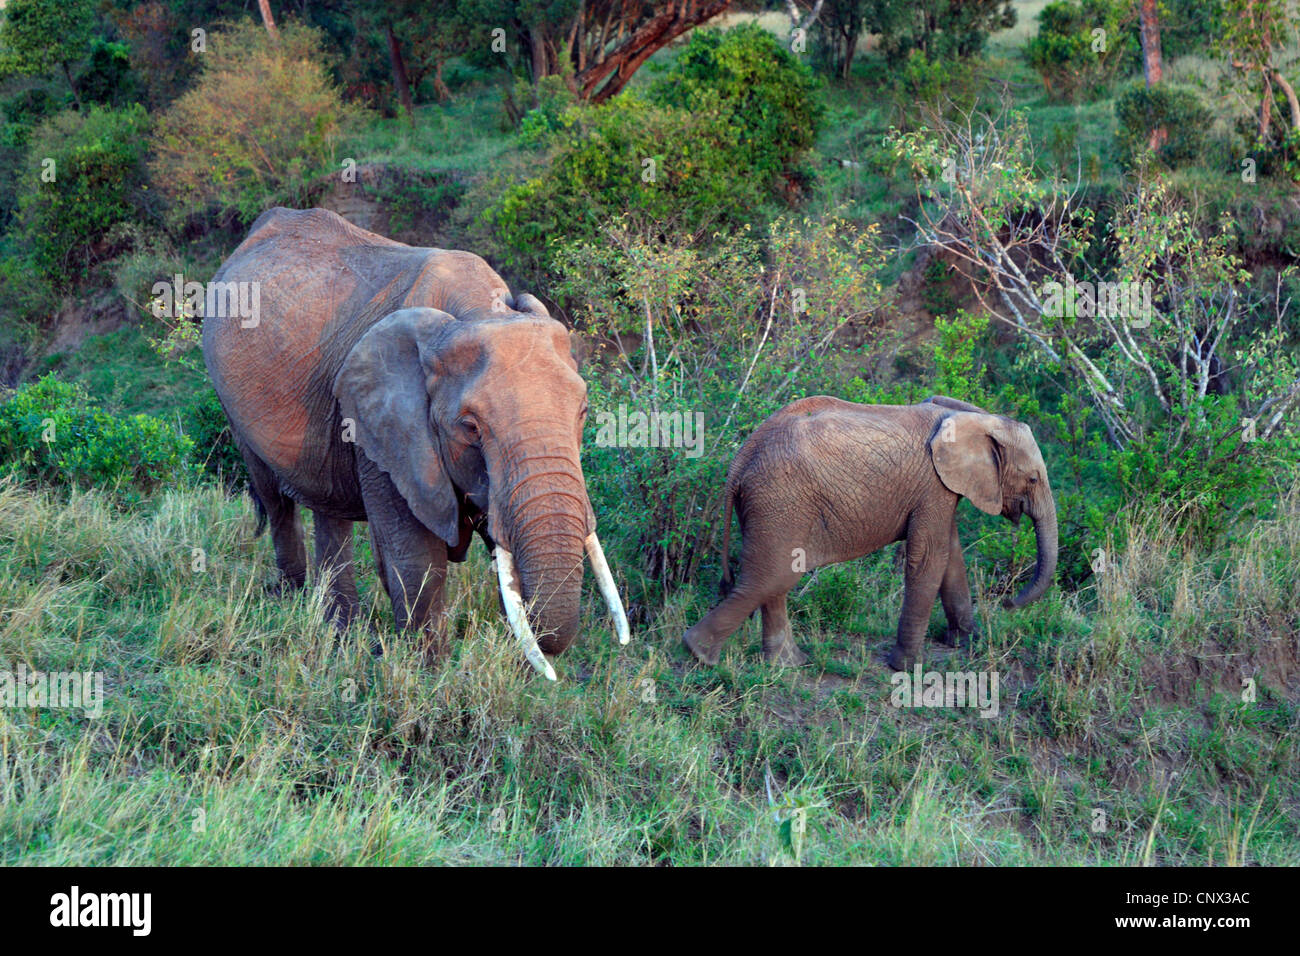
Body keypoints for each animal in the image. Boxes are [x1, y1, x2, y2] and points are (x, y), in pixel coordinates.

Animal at [202, 208, 629, 681]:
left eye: (583, 411)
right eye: (470, 427)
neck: (478, 309)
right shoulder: (383, 423)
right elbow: (416, 556)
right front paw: (431, 678)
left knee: (329, 509)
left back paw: (341, 633)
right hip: (229, 398)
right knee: (277, 502)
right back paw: (294, 604)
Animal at [681, 392, 1055, 671]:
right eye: (1033, 478)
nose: (1007, 602)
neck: (973, 416)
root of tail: (740, 459)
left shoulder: (942, 490)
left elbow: (950, 558)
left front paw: (968, 644)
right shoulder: (933, 487)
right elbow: (928, 559)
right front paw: (907, 667)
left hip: (774, 505)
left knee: (773, 579)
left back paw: (787, 665)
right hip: (780, 499)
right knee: (771, 577)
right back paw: (699, 654)